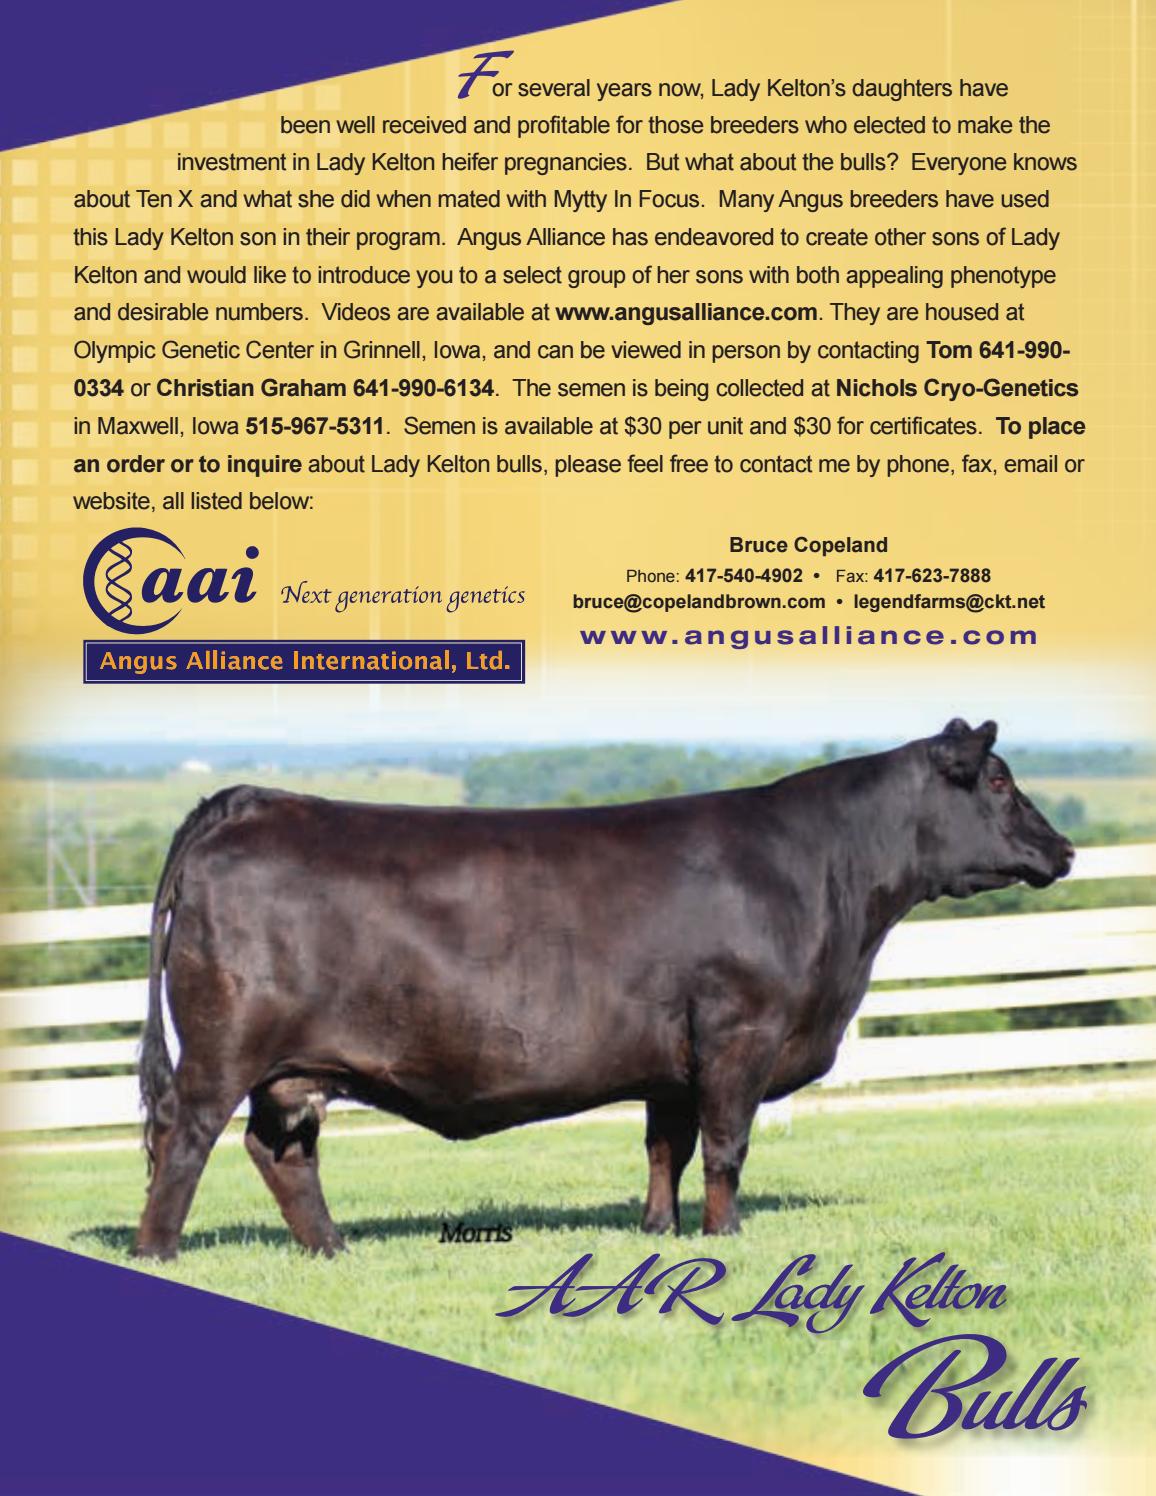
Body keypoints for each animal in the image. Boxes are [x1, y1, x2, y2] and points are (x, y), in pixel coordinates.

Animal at [133, 719, 1073, 1259]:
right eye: (997, 780)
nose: (1063, 848)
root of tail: (250, 799)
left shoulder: (673, 1059)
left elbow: (666, 1148)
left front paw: (659, 1233)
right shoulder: (740, 1032)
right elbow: (726, 1146)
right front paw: (726, 1237)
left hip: (291, 1068)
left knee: (281, 1151)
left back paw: (330, 1248)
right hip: (223, 1046)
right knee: (185, 1137)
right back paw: (159, 1252)